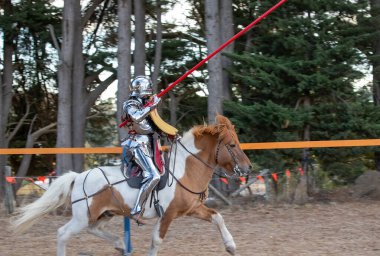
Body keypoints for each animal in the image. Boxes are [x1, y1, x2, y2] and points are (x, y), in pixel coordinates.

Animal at [12, 114, 252, 256]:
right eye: (232, 145)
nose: (247, 168)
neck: (184, 170)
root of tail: (79, 177)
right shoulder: (168, 215)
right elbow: (156, 241)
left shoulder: (192, 209)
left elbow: (217, 217)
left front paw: (231, 246)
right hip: (82, 217)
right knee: (63, 233)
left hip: (103, 214)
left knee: (94, 229)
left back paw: (120, 244)